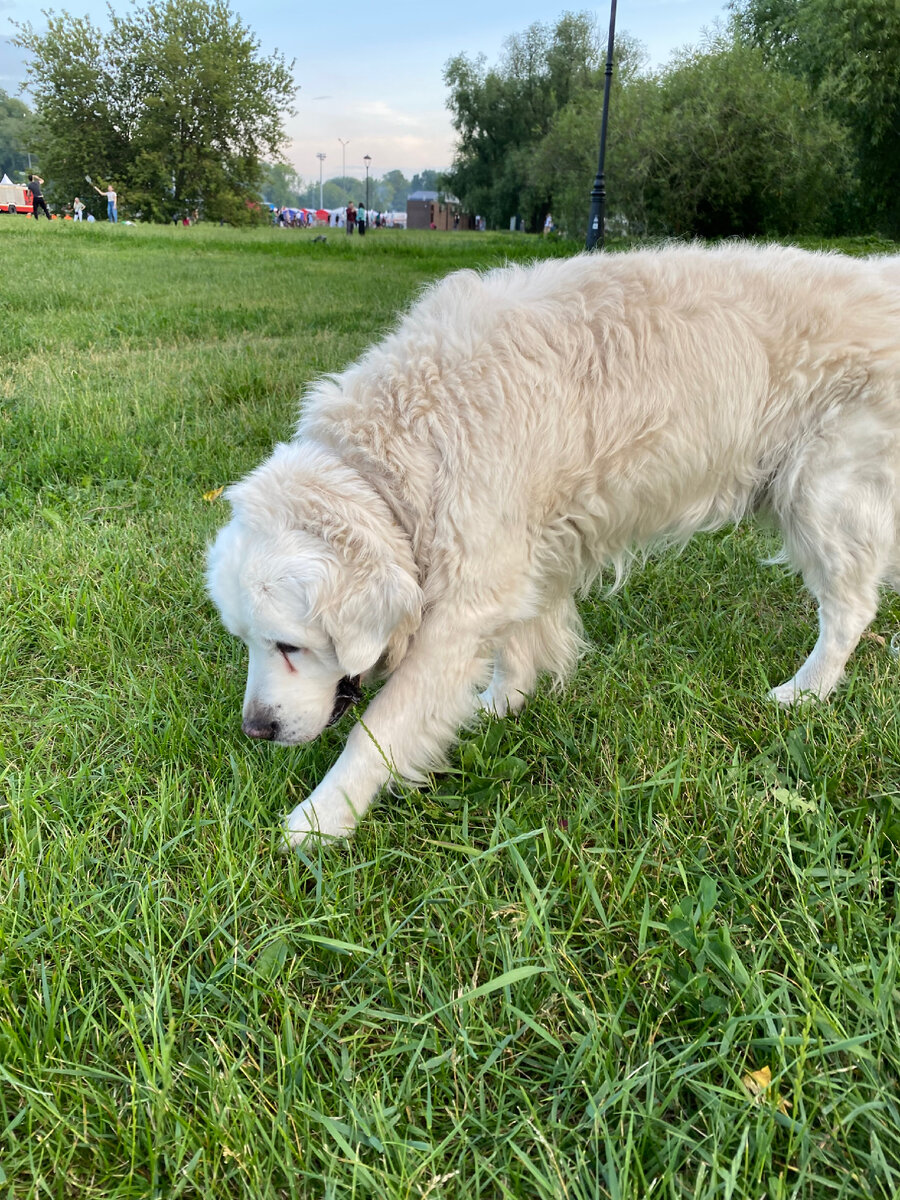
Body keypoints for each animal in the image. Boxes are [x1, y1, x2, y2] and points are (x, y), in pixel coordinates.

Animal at [207, 243, 900, 844]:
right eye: (246, 641)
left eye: (290, 646)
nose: (256, 731)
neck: (397, 457)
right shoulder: (517, 559)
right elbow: (517, 644)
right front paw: (501, 703)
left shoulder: (459, 605)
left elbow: (378, 729)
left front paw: (318, 820)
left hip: (821, 495)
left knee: (850, 608)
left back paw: (806, 691)